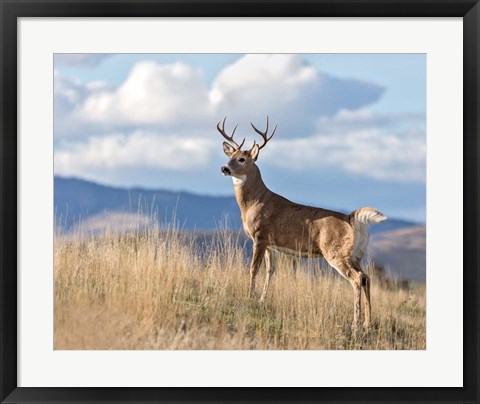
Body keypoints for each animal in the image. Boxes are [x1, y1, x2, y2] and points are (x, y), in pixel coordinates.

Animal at [219, 115, 388, 330]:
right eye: (230, 155)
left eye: (242, 158)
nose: (224, 168)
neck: (254, 202)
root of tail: (352, 218)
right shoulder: (270, 243)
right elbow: (270, 271)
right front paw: (261, 300)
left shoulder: (260, 235)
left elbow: (253, 269)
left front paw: (249, 298)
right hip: (356, 255)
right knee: (366, 277)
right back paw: (367, 323)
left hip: (337, 252)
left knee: (357, 279)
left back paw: (355, 323)